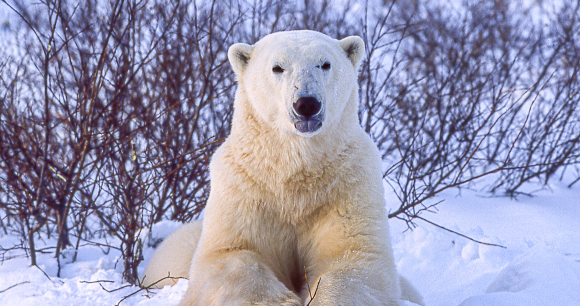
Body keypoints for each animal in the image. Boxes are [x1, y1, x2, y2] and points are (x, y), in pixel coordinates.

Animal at [140, 29, 422, 306]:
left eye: (325, 64)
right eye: (278, 67)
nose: (306, 103)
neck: (293, 174)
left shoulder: (346, 187)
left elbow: (353, 257)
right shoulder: (245, 189)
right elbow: (231, 254)